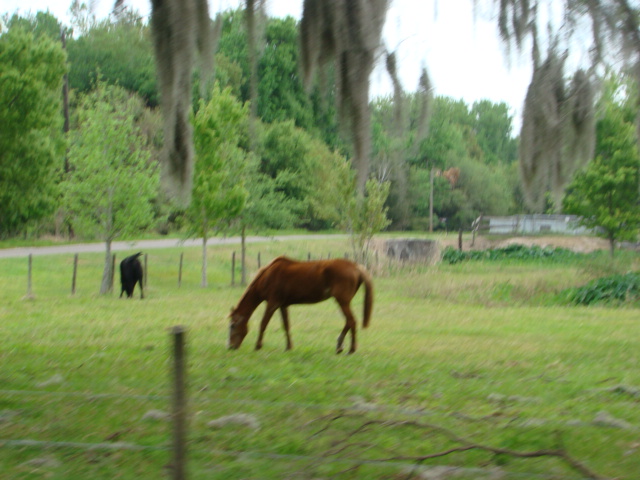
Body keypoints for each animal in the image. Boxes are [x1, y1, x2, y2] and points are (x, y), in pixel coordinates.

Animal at [228, 256, 372, 354]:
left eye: (233, 326)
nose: (230, 347)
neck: (268, 276)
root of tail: (356, 267)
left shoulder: (272, 304)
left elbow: (263, 324)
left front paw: (258, 346)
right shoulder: (282, 305)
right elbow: (286, 325)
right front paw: (289, 347)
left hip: (342, 302)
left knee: (352, 321)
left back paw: (351, 349)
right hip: (344, 302)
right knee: (349, 321)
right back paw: (340, 345)